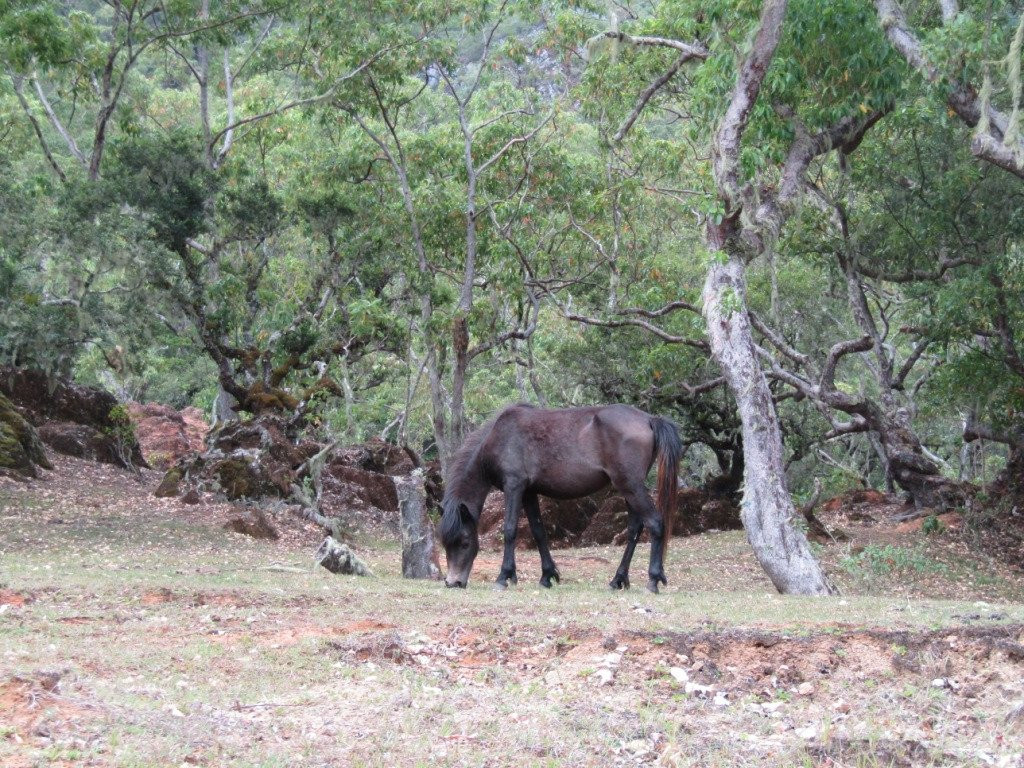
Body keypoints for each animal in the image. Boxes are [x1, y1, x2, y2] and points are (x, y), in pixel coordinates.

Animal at [438, 403, 679, 593]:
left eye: (465, 542)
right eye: (445, 543)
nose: (453, 582)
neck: (500, 436)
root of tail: (649, 419)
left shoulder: (514, 486)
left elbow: (509, 530)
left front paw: (504, 576)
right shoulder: (529, 492)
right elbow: (538, 532)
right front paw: (547, 576)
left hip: (630, 486)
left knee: (655, 523)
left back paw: (653, 580)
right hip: (629, 489)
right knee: (634, 530)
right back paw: (618, 580)